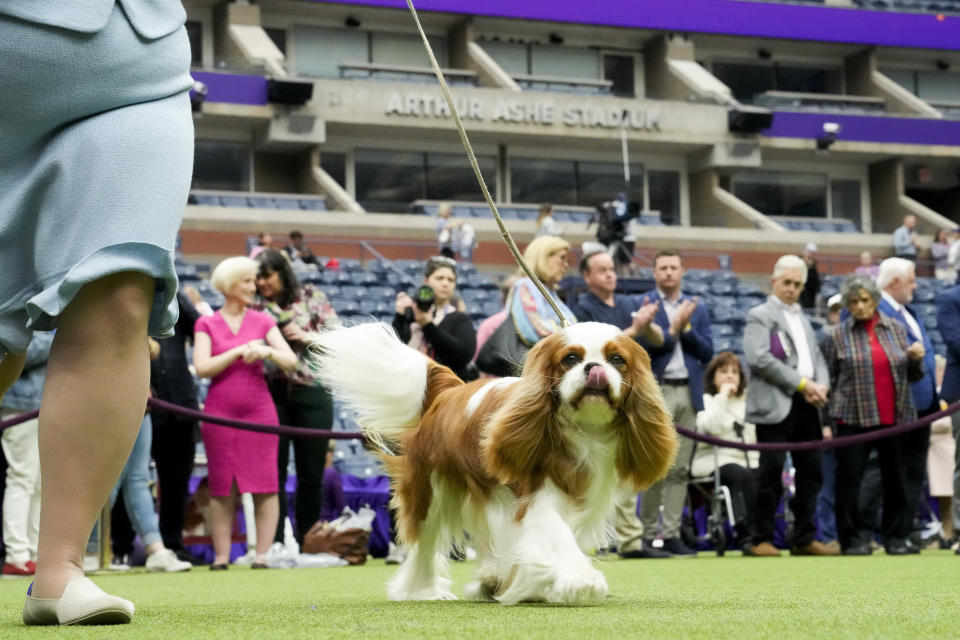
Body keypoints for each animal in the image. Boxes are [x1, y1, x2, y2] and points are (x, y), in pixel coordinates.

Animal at [314, 320, 676, 604]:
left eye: (617, 360)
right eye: (570, 359)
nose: (594, 369)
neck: (583, 432)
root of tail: (449, 392)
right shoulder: (536, 499)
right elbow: (557, 537)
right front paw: (581, 580)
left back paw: (490, 581)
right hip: (430, 492)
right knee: (424, 545)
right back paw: (421, 591)